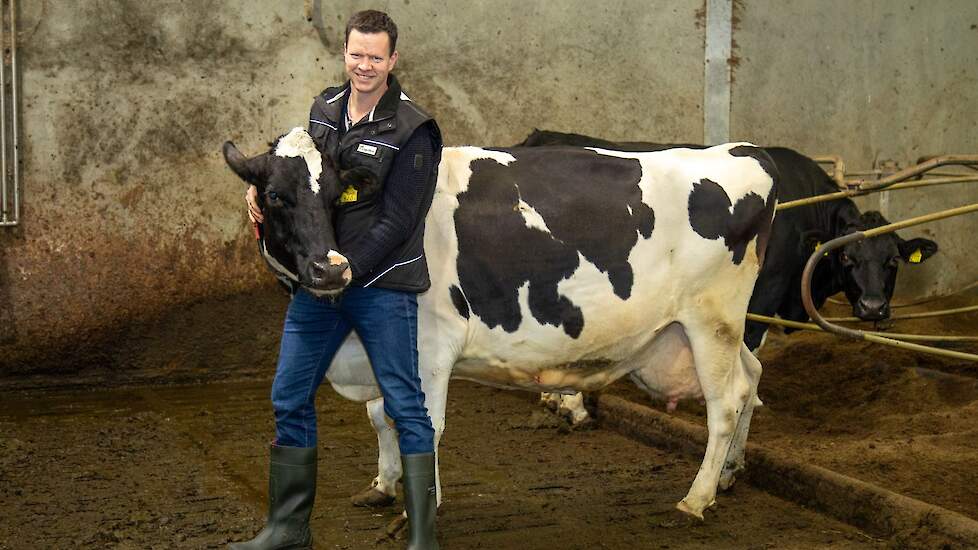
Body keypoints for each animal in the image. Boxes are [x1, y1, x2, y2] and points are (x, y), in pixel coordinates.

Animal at [225, 129, 772, 520]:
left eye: (338, 194)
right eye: (273, 195)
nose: (330, 268)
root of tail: (740, 150)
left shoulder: (430, 345)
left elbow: (421, 423)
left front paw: (422, 506)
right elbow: (381, 416)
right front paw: (383, 485)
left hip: (711, 318)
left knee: (725, 403)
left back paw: (696, 499)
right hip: (709, 328)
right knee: (752, 378)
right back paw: (729, 474)